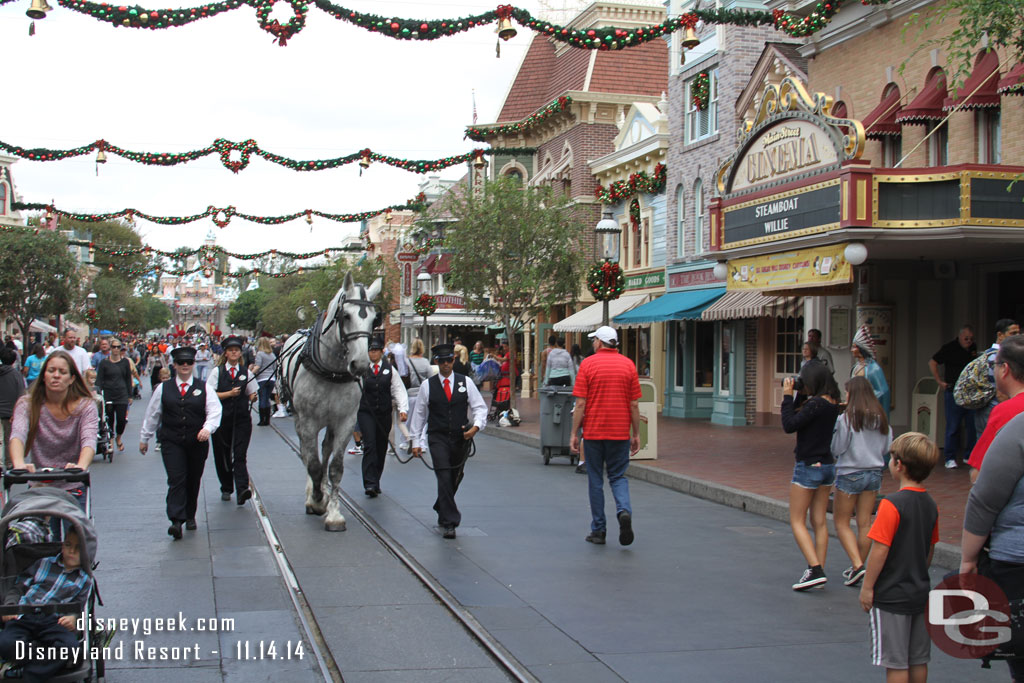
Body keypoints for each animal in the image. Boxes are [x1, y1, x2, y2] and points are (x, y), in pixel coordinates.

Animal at [278, 272, 382, 532]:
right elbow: (313, 463)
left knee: (325, 449)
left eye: (374, 320)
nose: (361, 364)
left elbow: (335, 467)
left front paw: (333, 513)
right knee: (307, 454)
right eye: (346, 316)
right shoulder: (308, 421)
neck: (331, 371)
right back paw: (312, 495)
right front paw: (316, 500)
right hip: (299, 418)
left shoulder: (346, 421)